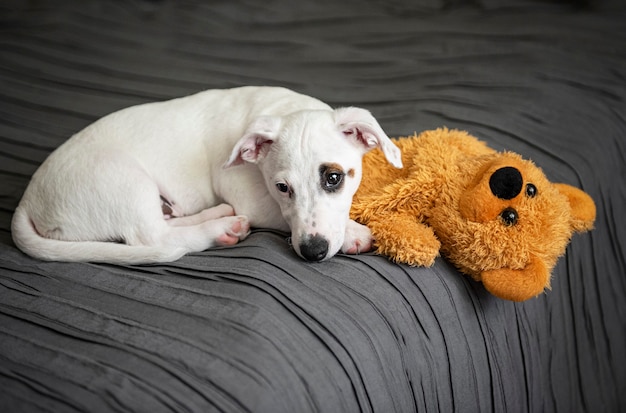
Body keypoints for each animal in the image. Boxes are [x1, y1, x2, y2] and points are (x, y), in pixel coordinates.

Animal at [12, 85, 402, 262]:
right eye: (281, 187)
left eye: (334, 178)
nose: (312, 251)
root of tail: (27, 201)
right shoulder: (253, 197)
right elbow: (283, 216)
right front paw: (353, 232)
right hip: (122, 178)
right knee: (153, 237)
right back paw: (219, 229)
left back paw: (217, 215)